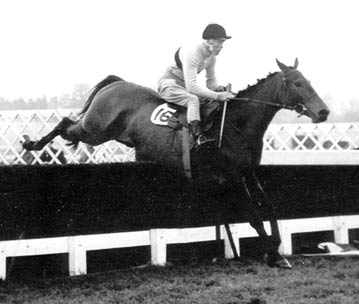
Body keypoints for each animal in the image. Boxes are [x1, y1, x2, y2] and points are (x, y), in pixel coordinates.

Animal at [22, 58, 330, 268]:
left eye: (309, 81)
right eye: (297, 83)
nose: (323, 112)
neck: (238, 124)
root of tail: (115, 83)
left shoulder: (249, 173)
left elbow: (269, 207)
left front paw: (277, 248)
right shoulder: (232, 177)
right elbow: (254, 215)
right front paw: (272, 253)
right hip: (95, 130)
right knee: (65, 123)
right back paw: (31, 144)